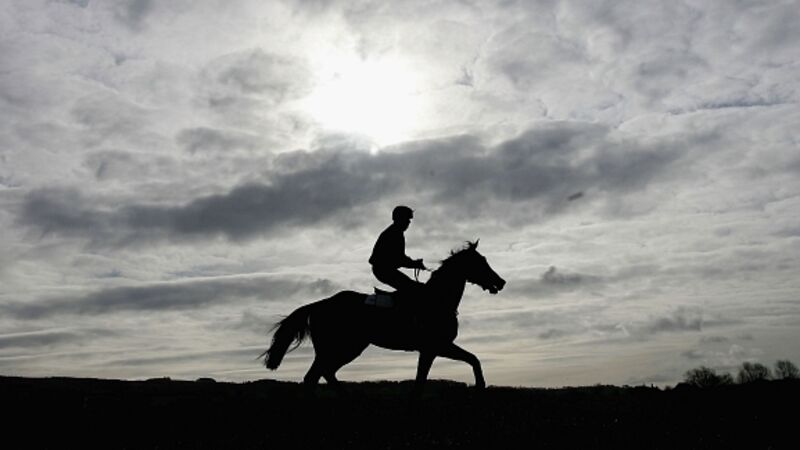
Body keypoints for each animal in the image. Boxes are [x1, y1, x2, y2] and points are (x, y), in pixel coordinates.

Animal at [260, 240, 506, 394]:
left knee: (323, 374)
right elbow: (469, 361)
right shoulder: (436, 346)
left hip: (344, 347)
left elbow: (461, 363)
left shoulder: (433, 349)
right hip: (342, 347)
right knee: (315, 375)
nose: (501, 282)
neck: (437, 300)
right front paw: (481, 386)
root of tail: (320, 304)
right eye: (480, 262)